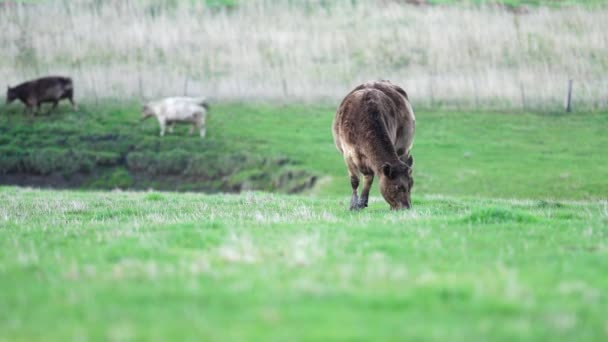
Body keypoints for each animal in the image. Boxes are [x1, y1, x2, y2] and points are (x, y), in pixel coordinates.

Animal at [332, 81, 414, 210]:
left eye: (411, 184)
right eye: (397, 187)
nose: (407, 207)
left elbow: (369, 178)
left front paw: (361, 202)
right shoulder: (348, 153)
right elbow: (355, 180)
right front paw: (353, 205)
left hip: (405, 150)